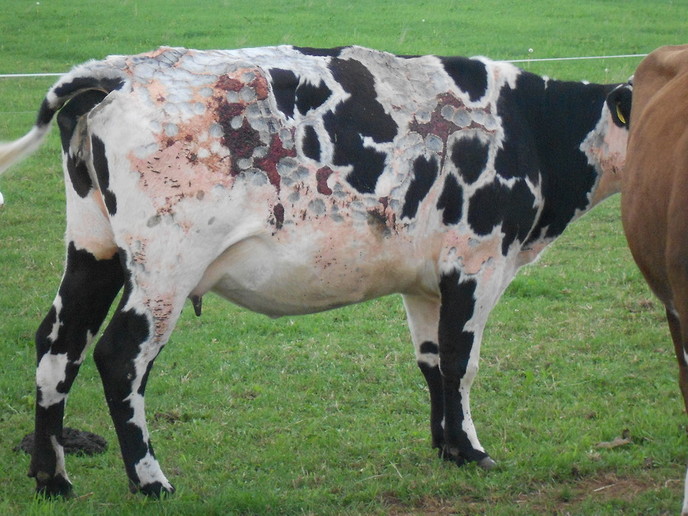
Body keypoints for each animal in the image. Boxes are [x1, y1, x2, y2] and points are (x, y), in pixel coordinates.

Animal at [0, 45, 631, 498]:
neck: (532, 126)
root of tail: (120, 71)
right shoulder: (478, 263)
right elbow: (462, 363)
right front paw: (473, 451)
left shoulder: (427, 281)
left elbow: (433, 363)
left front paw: (446, 448)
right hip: (164, 268)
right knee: (119, 357)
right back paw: (150, 480)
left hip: (94, 249)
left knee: (57, 345)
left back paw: (52, 477)